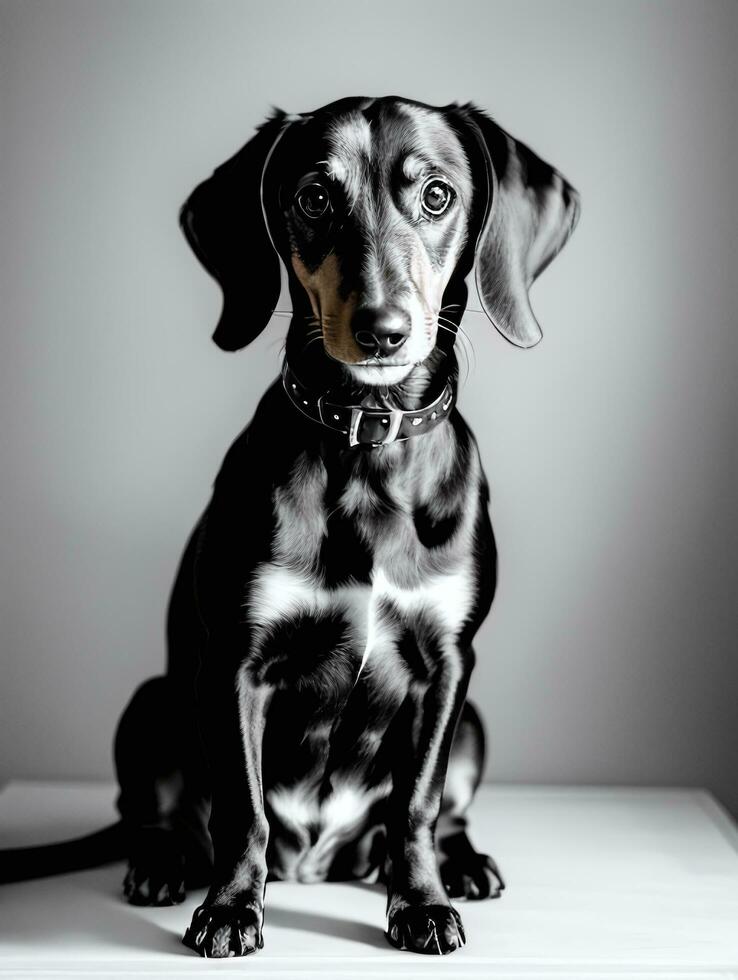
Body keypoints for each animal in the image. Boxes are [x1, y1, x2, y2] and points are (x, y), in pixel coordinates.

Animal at [0, 97, 576, 956]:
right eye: (312, 197)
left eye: (437, 195)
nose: (383, 329)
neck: (367, 449)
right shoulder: (237, 662)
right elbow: (242, 808)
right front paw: (231, 909)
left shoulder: (447, 665)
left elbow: (418, 802)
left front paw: (422, 902)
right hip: (152, 704)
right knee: (160, 812)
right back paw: (164, 864)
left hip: (472, 718)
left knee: (445, 814)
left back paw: (463, 863)